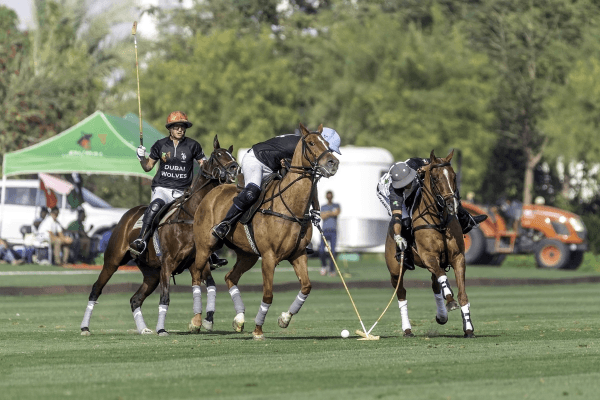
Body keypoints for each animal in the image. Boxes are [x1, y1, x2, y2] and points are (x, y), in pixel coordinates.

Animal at [79, 136, 239, 336]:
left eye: (231, 155)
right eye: (217, 155)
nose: (235, 167)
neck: (190, 216)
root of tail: (127, 214)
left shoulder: (197, 263)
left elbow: (208, 287)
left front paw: (203, 322)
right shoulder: (167, 263)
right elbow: (165, 297)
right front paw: (162, 329)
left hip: (151, 273)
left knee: (135, 299)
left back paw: (144, 329)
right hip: (113, 260)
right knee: (96, 289)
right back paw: (85, 327)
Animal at [190, 123, 340, 340]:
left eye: (327, 144)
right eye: (312, 143)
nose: (333, 163)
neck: (290, 206)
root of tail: (211, 193)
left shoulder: (298, 254)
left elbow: (306, 286)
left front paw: (284, 318)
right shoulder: (269, 257)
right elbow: (268, 295)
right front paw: (258, 330)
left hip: (248, 255)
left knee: (230, 277)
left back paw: (239, 319)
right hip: (205, 245)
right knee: (196, 273)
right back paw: (195, 321)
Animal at [384, 149, 474, 338]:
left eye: (454, 176)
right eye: (435, 178)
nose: (451, 205)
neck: (439, 220)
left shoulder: (458, 258)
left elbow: (462, 294)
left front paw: (468, 327)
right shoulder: (428, 257)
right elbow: (443, 278)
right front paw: (450, 298)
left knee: (434, 284)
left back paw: (442, 315)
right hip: (395, 270)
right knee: (401, 292)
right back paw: (407, 329)